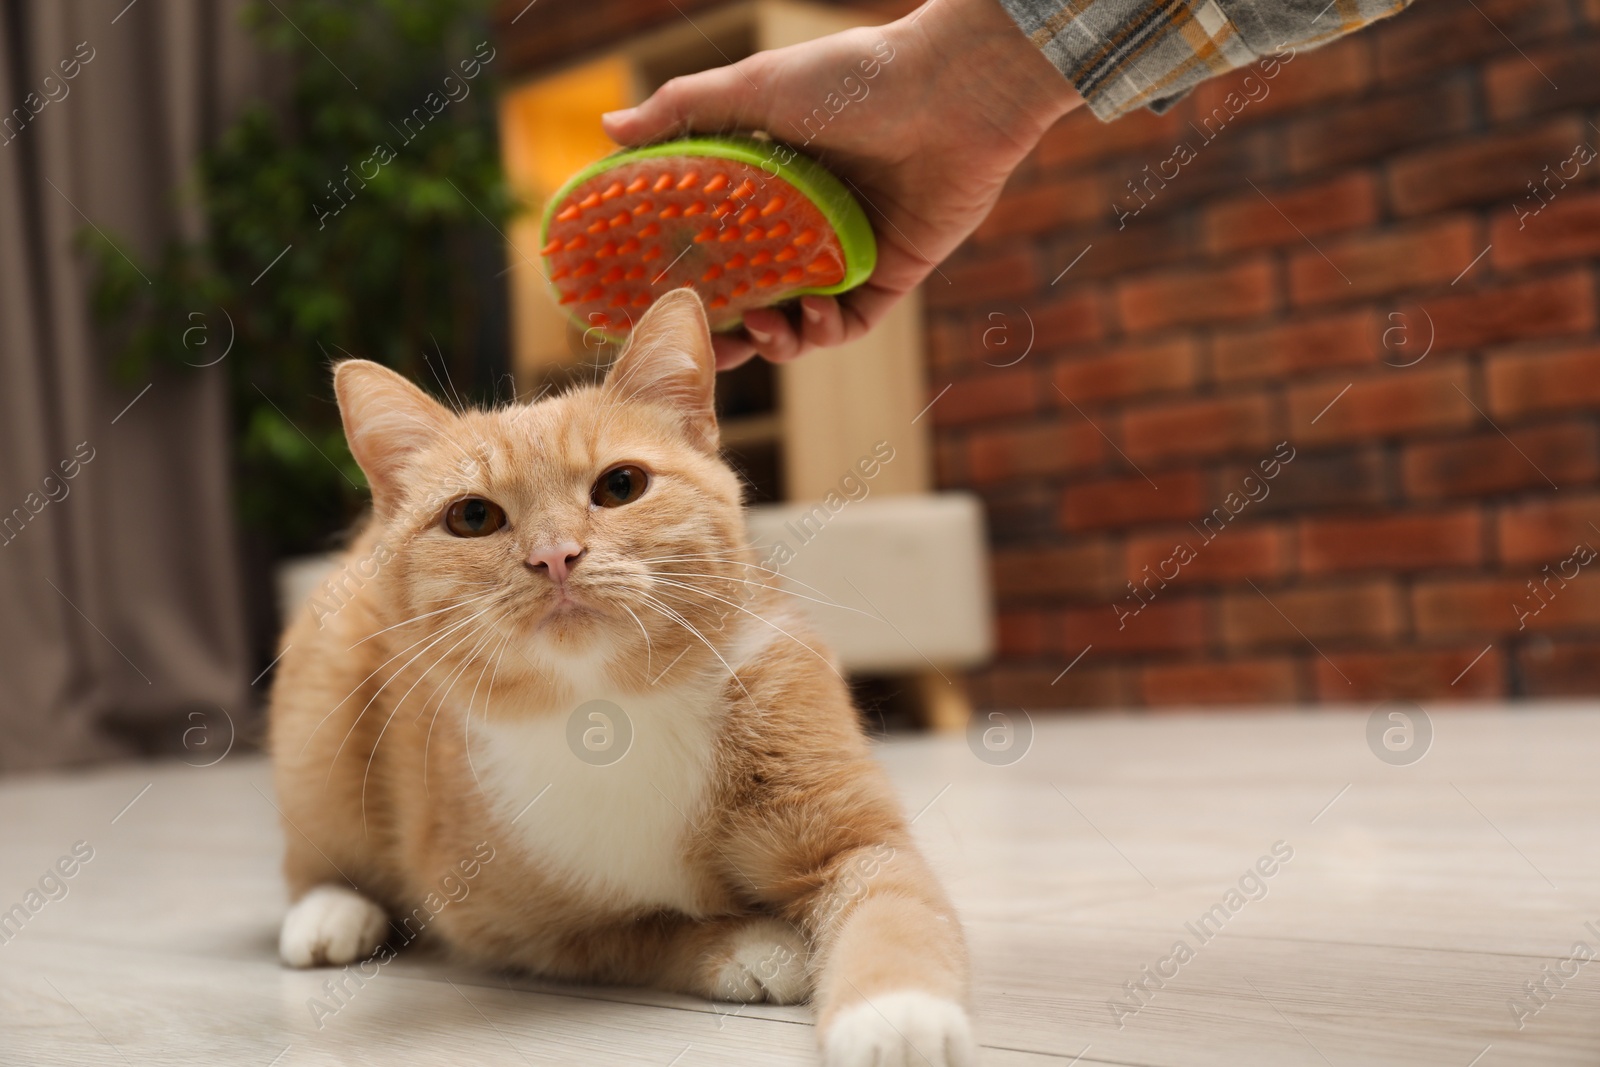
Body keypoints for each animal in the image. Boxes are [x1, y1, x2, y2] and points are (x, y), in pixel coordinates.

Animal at [268, 289, 972, 1067]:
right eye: (473, 515)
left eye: (621, 485)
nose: (554, 555)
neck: (608, 710)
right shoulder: (515, 926)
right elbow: (641, 931)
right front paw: (756, 944)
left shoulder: (858, 836)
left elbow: (895, 909)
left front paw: (898, 1013)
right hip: (319, 716)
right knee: (313, 850)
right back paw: (330, 911)